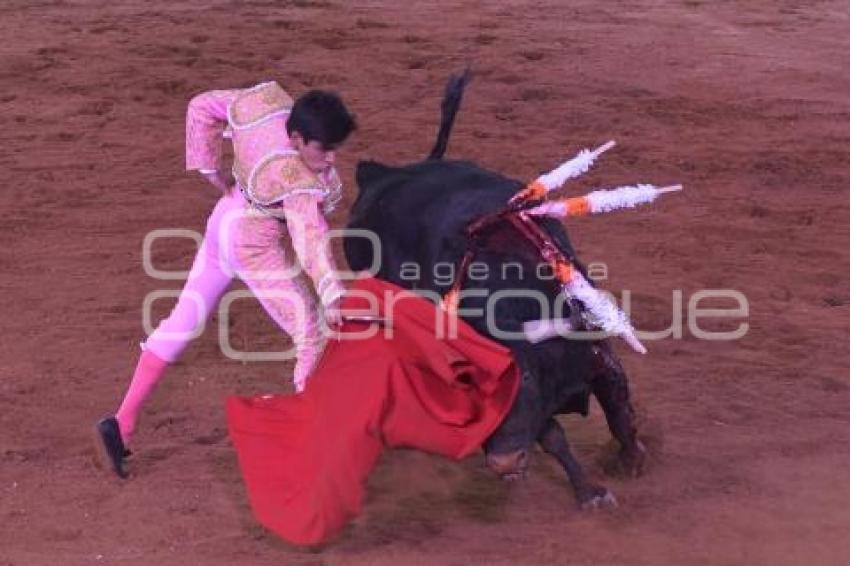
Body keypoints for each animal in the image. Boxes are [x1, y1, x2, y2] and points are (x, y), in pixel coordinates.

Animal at [342, 74, 644, 510]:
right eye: (475, 395)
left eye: (527, 379)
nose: (503, 463)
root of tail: (382, 176)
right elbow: (553, 435)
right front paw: (588, 490)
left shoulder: (595, 348)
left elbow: (618, 403)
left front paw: (631, 460)